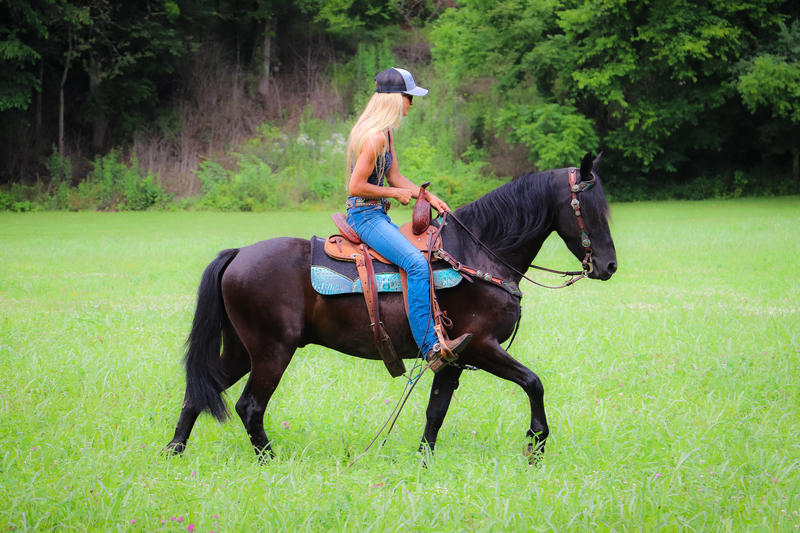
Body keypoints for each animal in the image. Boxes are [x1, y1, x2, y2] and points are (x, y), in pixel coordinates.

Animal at [166, 152, 617, 459]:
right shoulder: (482, 346)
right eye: (591, 209)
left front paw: (424, 461)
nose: (609, 266)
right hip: (272, 351)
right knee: (249, 406)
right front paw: (536, 443)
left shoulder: (451, 358)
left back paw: (174, 451)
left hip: (242, 350)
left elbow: (436, 412)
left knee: (199, 392)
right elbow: (533, 382)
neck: (477, 255)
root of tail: (239, 254)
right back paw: (269, 460)